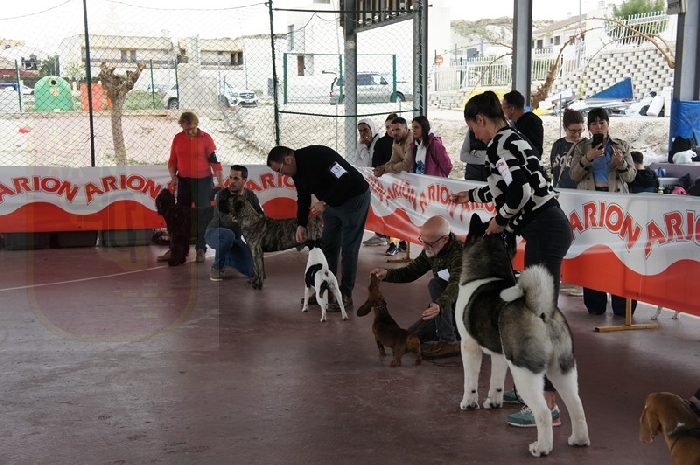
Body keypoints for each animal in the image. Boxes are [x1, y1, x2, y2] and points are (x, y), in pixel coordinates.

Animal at [454, 214, 589, 457]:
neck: (489, 272)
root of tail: (541, 310)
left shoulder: (469, 346)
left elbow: (470, 379)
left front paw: (469, 403)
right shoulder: (500, 354)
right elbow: (496, 380)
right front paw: (494, 401)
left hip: (523, 370)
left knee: (543, 412)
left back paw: (541, 448)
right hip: (562, 369)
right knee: (576, 406)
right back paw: (579, 439)